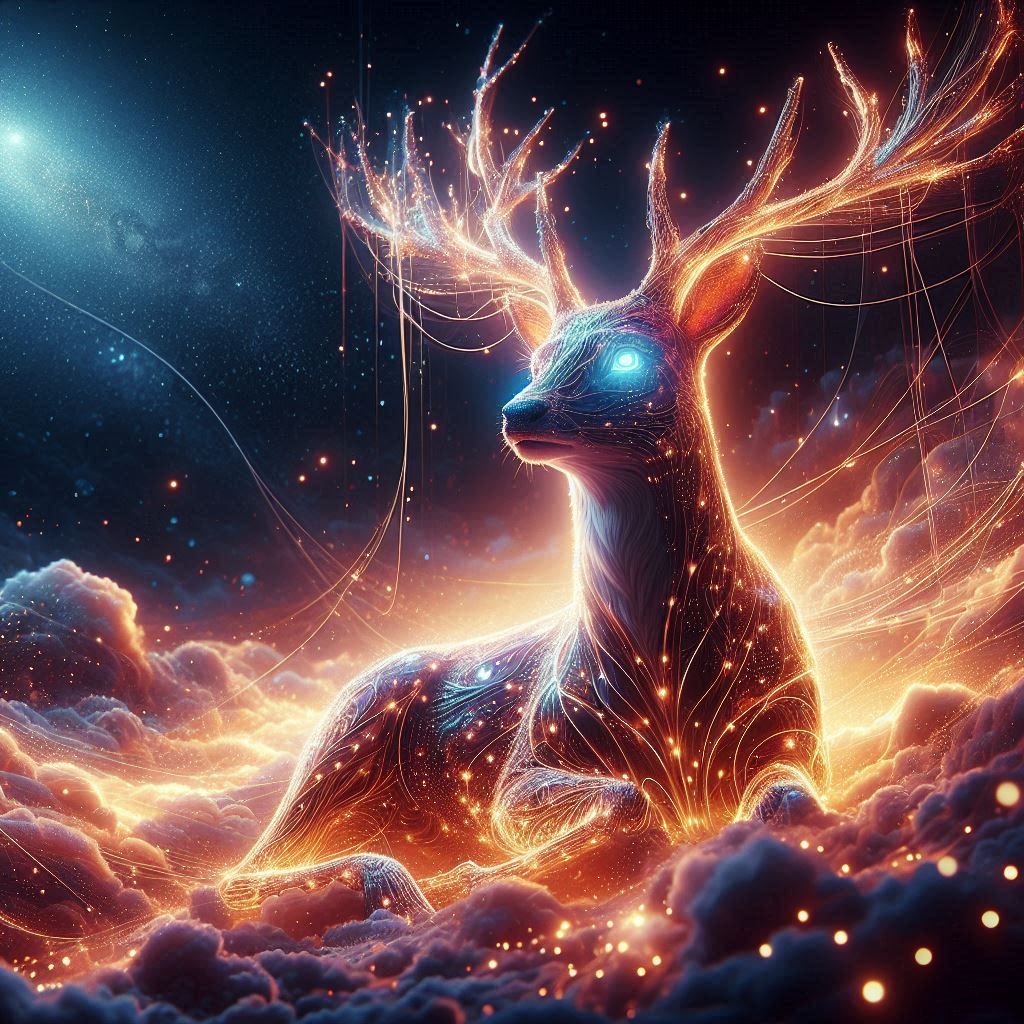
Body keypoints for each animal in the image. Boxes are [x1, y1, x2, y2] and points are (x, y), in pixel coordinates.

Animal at [220, 9, 1022, 918]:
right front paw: (480, 873)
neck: (670, 696)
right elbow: (627, 801)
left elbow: (788, 797)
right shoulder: (521, 765)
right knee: (238, 873)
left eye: (628, 359)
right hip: (342, 737)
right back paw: (397, 878)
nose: (519, 412)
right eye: (539, 358)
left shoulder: (797, 729)